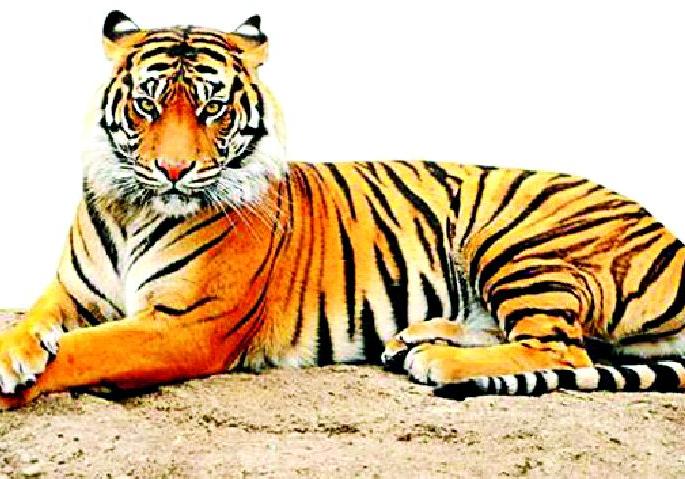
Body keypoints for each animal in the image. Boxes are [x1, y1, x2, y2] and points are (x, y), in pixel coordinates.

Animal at [0, 10, 683, 409]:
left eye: (213, 108)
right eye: (147, 103)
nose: (174, 170)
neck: (133, 209)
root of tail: (672, 238)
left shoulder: (184, 326)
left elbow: (86, 351)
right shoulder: (72, 291)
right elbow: (34, 323)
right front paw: (15, 353)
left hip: (518, 240)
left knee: (564, 349)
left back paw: (438, 360)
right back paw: (415, 339)